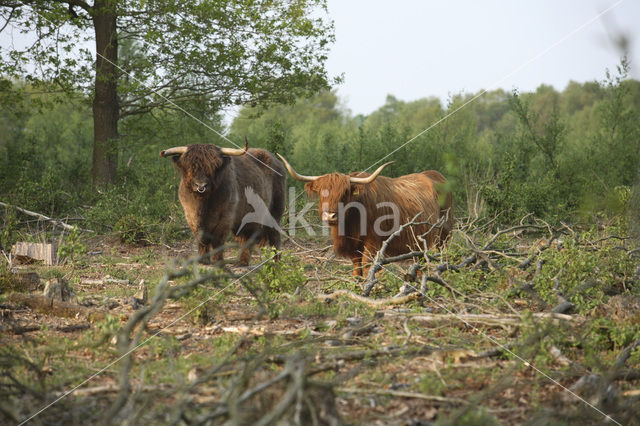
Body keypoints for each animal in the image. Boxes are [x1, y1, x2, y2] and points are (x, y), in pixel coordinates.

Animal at [278, 155, 452, 278]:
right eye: (321, 192)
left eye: (344, 193)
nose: (330, 216)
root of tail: (434, 174)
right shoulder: (353, 245)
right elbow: (357, 267)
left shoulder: (373, 242)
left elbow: (367, 264)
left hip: (444, 235)